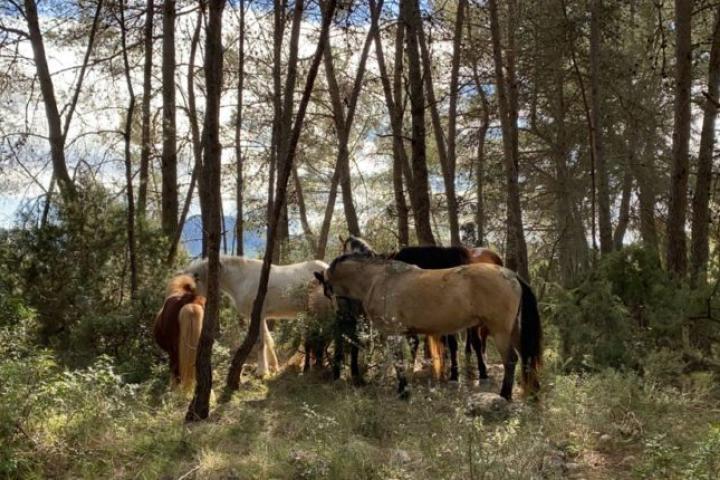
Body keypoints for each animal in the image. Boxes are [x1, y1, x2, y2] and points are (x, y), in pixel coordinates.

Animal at [186, 256, 332, 376]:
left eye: (194, 280)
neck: (243, 279)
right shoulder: (258, 318)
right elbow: (268, 340)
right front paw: (274, 367)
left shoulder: (259, 316)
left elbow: (261, 342)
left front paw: (261, 371)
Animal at [316, 255, 540, 402]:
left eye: (327, 290)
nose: (342, 316)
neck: (379, 280)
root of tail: (511, 275)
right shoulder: (401, 334)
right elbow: (396, 361)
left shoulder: (393, 333)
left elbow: (397, 362)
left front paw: (403, 392)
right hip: (514, 330)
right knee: (526, 358)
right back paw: (532, 393)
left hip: (500, 331)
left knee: (511, 360)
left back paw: (505, 395)